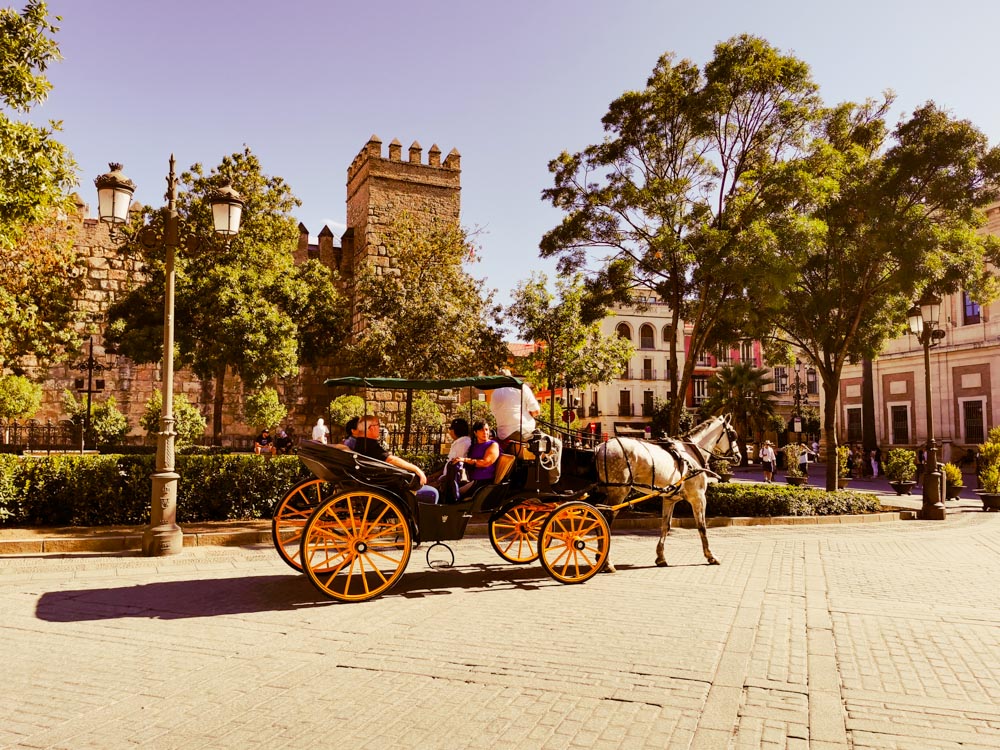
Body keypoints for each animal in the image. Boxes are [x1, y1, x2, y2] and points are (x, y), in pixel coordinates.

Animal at [592, 418, 744, 568]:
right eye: (733, 434)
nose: (738, 456)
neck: (691, 453)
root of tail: (601, 447)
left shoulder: (669, 499)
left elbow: (666, 525)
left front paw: (660, 557)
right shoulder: (698, 497)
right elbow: (702, 526)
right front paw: (710, 556)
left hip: (607, 492)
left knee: (597, 517)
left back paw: (600, 555)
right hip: (619, 492)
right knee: (605, 518)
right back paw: (607, 562)